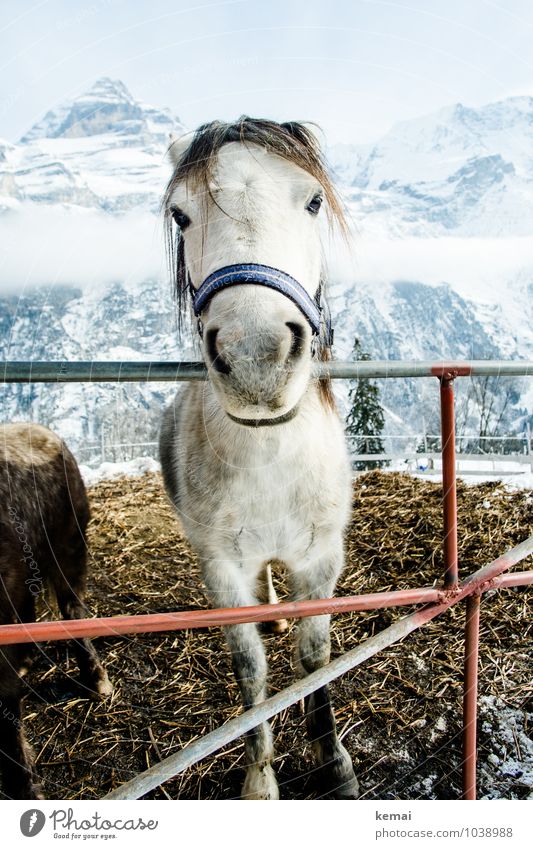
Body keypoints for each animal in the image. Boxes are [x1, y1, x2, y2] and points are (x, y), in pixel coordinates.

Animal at [158, 116, 358, 800]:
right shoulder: (222, 571)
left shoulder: (321, 561)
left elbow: (314, 660)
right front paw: (260, 778)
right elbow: (250, 668)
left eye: (314, 200)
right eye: (181, 214)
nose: (255, 357)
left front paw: (333, 763)